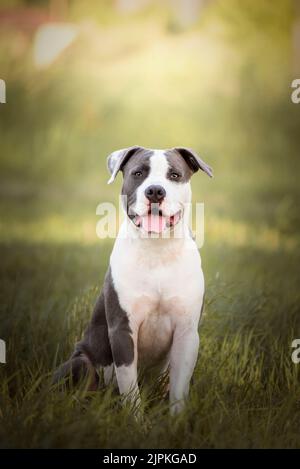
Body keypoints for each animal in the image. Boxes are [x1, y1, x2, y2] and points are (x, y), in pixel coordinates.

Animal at [54, 146, 213, 414]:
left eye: (174, 175)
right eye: (138, 173)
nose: (155, 191)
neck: (157, 249)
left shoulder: (187, 333)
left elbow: (179, 389)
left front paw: (177, 421)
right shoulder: (122, 330)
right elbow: (129, 387)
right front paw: (136, 420)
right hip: (82, 362)